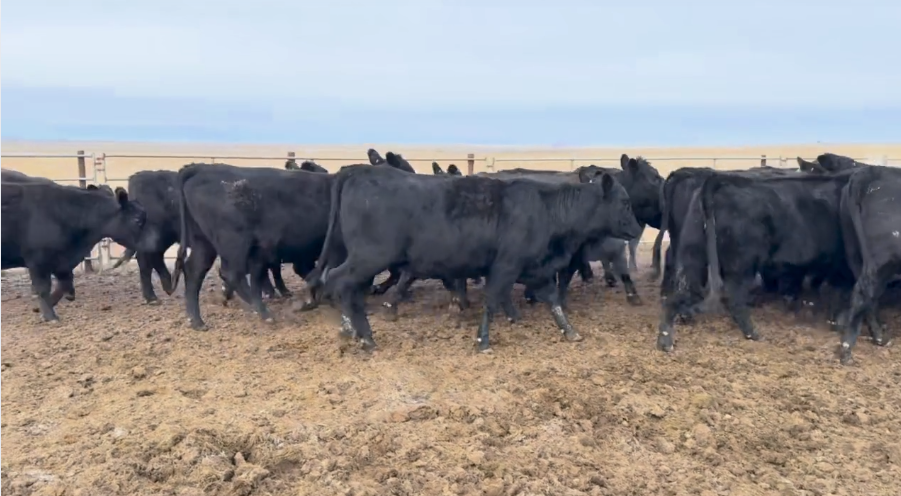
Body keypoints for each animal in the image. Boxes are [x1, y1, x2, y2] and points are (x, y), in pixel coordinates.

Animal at [2, 181, 146, 322]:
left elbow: (66, 283)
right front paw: (50, 316)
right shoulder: (38, 261)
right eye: (137, 219)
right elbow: (43, 288)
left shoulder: (62, 263)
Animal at [170, 163, 336, 330]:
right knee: (232, 274)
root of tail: (201, 168)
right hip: (234, 242)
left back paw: (197, 320)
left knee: (195, 271)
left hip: (203, 242)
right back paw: (264, 313)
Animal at [310, 164, 642, 352]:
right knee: (340, 281)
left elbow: (553, 299)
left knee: (341, 284)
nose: (637, 227)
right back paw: (364, 337)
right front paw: (482, 340)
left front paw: (569, 331)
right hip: (369, 256)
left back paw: (351, 331)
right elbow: (492, 301)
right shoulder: (505, 265)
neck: (545, 210)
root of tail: (358, 172)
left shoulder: (534, 267)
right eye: (625, 202)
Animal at [655, 171, 859, 352]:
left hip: (694, 255)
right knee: (735, 300)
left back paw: (665, 340)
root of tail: (719, 181)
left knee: (678, 294)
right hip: (741, 264)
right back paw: (753, 333)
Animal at [836, 165, 901, 364]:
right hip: (883, 258)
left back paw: (878, 335)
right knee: (863, 291)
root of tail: (871, 170)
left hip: (854, 250)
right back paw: (847, 348)